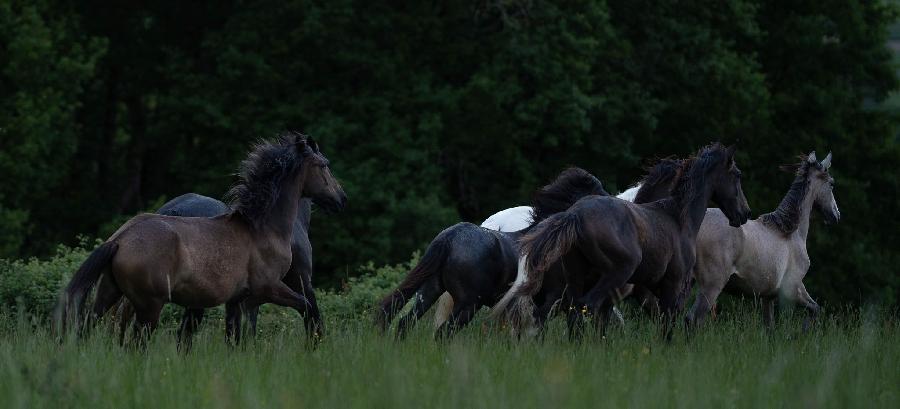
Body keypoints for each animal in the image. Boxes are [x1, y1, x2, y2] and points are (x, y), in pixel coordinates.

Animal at [372, 167, 612, 338]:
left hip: (430, 290)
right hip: (468, 304)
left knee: (405, 323)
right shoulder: (555, 301)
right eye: (597, 190)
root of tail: (450, 237)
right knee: (443, 332)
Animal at [492, 142, 752, 340]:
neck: (677, 217)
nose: (744, 213)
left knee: (561, 314)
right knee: (576, 309)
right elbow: (666, 323)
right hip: (606, 277)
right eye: (737, 175)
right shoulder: (672, 284)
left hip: (573, 281)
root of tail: (574, 216)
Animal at [684, 151, 840, 330]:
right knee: (694, 318)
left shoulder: (768, 297)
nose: (836, 215)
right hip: (711, 285)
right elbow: (815, 309)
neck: (788, 233)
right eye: (831, 184)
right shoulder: (793, 289)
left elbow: (770, 327)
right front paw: (804, 331)